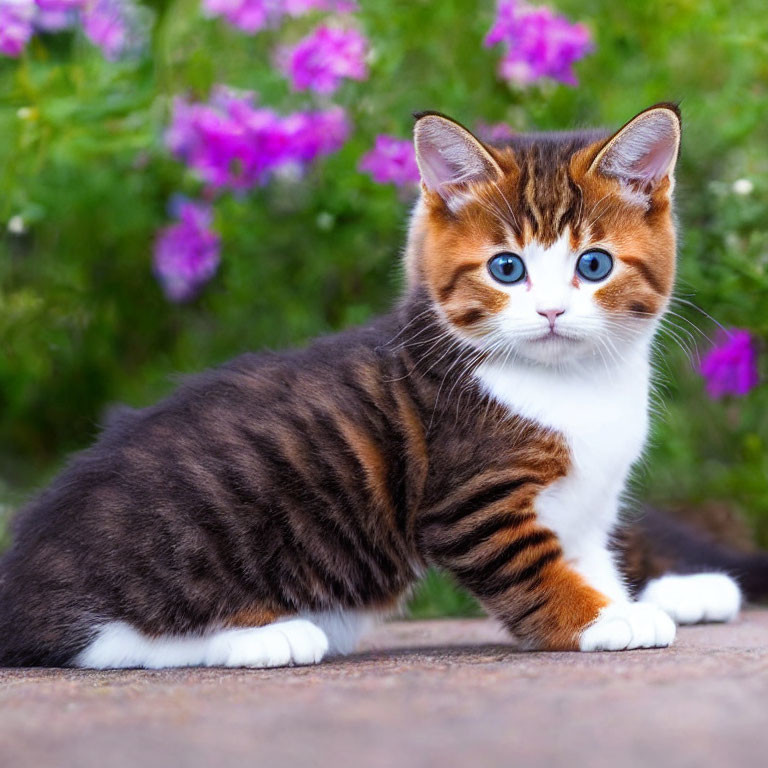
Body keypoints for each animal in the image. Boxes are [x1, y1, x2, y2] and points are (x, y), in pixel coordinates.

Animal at [0, 105, 748, 668]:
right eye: (507, 269)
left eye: (593, 265)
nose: (551, 312)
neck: (575, 385)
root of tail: (23, 575)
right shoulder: (469, 501)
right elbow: (537, 570)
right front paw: (603, 622)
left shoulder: (587, 507)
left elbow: (590, 561)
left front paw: (627, 602)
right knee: (107, 641)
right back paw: (266, 635)